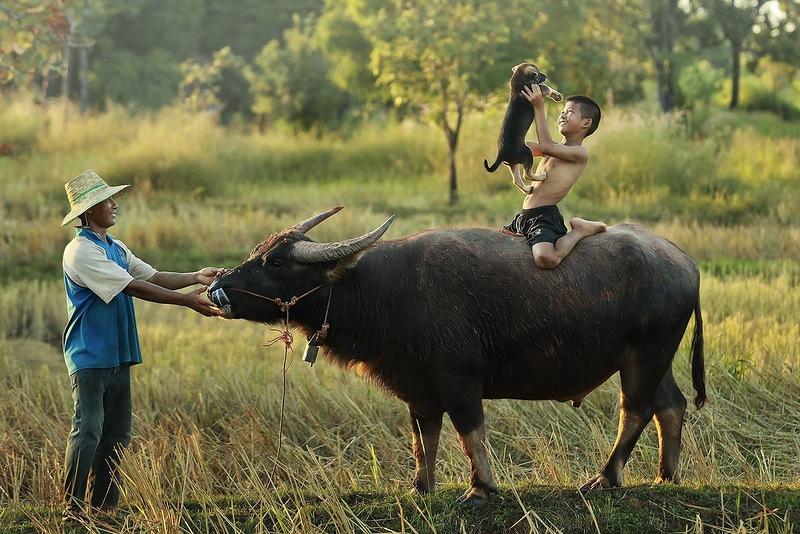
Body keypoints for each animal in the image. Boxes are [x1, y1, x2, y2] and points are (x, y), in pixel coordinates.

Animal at [209, 207, 704, 504]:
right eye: (257, 252)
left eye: (275, 263)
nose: (218, 288)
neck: (382, 291)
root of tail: (685, 263)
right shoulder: (418, 390)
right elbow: (422, 439)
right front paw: (421, 487)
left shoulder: (459, 381)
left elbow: (470, 434)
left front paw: (481, 488)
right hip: (651, 359)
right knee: (670, 406)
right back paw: (665, 476)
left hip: (645, 356)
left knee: (635, 409)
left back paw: (606, 477)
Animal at [482, 63, 564, 193]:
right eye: (538, 73)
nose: (546, 75)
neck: (518, 81)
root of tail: (501, 154)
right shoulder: (537, 89)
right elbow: (546, 87)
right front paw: (556, 95)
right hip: (527, 153)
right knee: (527, 175)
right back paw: (541, 177)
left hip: (513, 163)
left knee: (517, 180)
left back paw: (527, 189)